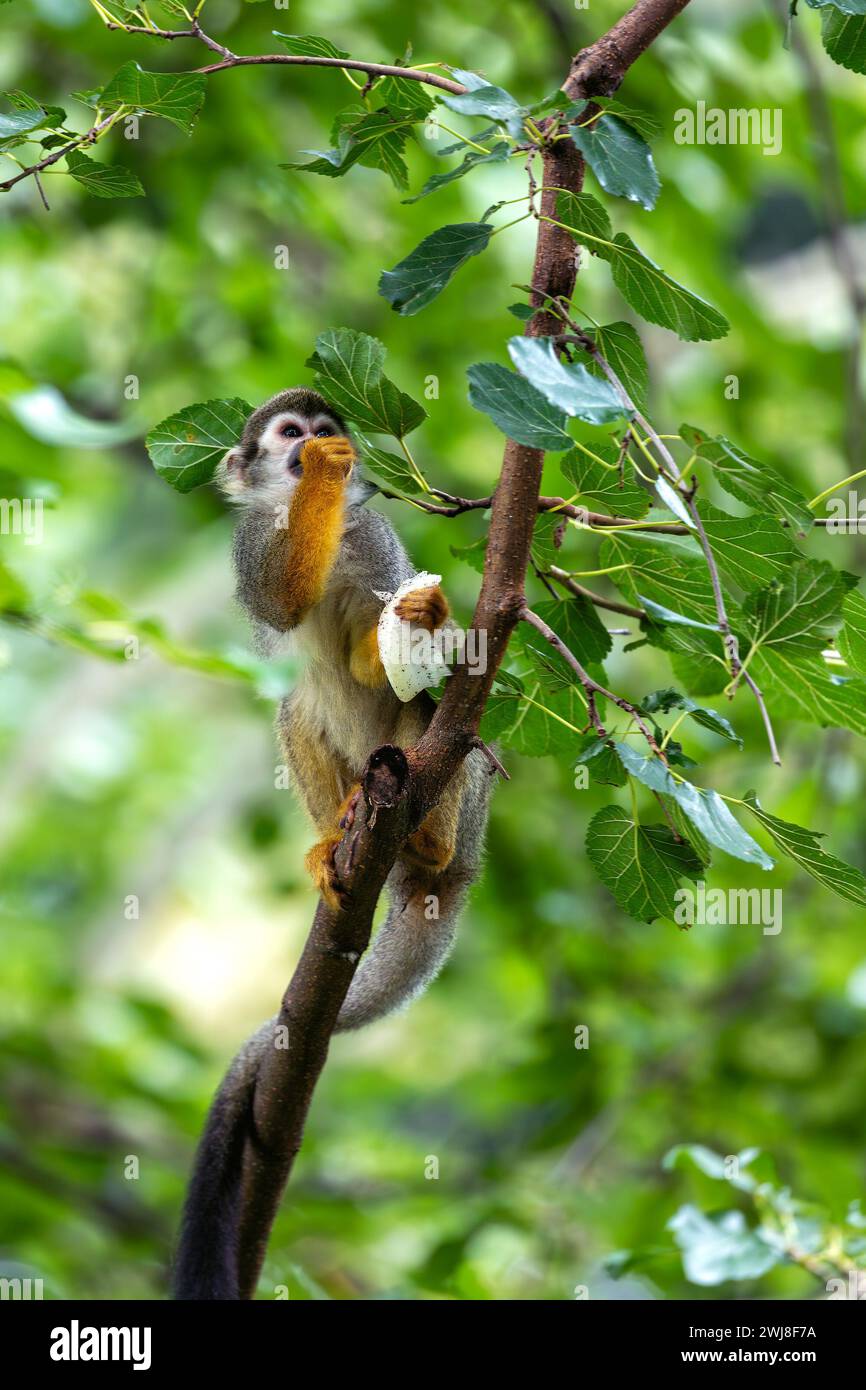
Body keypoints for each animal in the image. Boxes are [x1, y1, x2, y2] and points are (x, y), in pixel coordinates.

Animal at [171, 388, 491, 1299]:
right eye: (290, 434)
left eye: (321, 425)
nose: (315, 445)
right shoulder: (248, 547)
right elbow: (281, 604)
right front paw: (318, 483)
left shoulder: (375, 537)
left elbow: (380, 654)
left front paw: (425, 613)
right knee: (297, 703)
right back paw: (338, 837)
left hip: (460, 798)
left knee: (436, 708)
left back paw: (426, 841)